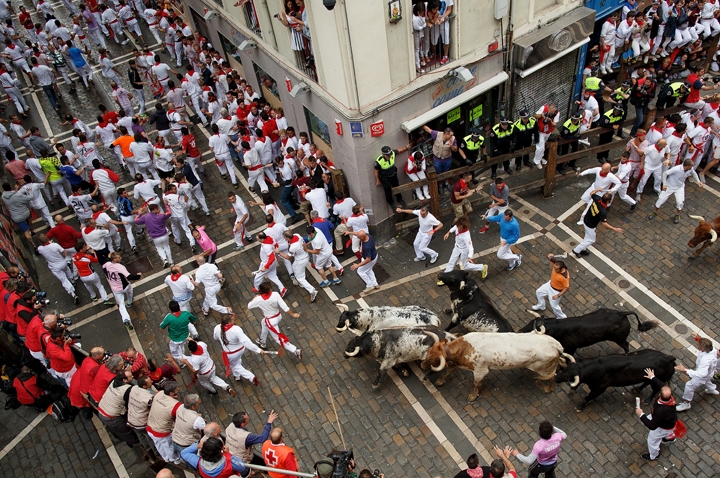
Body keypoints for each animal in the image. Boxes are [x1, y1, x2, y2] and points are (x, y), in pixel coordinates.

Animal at [420, 330, 572, 402]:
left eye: (432, 359)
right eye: (428, 351)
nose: (422, 364)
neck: (465, 347)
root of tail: (555, 344)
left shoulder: (480, 370)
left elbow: (476, 384)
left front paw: (472, 396)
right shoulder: (457, 364)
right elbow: (449, 371)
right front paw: (440, 381)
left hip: (543, 369)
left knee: (552, 376)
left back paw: (549, 389)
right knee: (561, 363)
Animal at [516, 310, 660, 354]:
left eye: (532, 329)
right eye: (530, 322)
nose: (520, 331)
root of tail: (621, 313)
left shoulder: (571, 348)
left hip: (619, 338)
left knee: (626, 345)